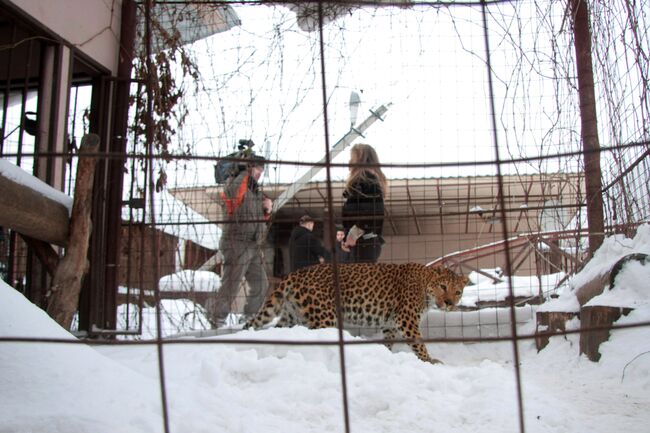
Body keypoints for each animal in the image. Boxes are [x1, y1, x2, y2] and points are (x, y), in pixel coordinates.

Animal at [243, 262, 466, 362]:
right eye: (443, 286)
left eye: (458, 292)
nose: (448, 303)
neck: (425, 286)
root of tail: (295, 274)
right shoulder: (407, 320)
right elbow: (418, 343)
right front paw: (430, 361)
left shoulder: (391, 324)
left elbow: (388, 341)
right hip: (324, 317)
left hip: (291, 316)